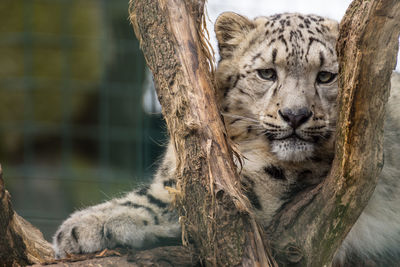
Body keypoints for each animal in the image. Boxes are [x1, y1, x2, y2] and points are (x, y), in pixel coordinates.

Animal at [52, 12, 400, 266]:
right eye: (267, 73)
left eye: (326, 76)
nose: (295, 114)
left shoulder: (262, 183)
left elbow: (171, 198)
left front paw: (82, 226)